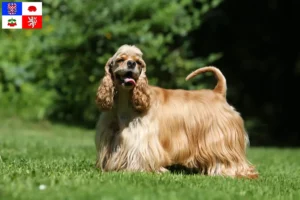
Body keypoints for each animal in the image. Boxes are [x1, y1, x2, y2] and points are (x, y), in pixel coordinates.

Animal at [94, 45, 258, 178]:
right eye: (120, 59)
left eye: (139, 62)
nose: (131, 63)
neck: (126, 101)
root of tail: (218, 93)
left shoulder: (142, 139)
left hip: (222, 140)